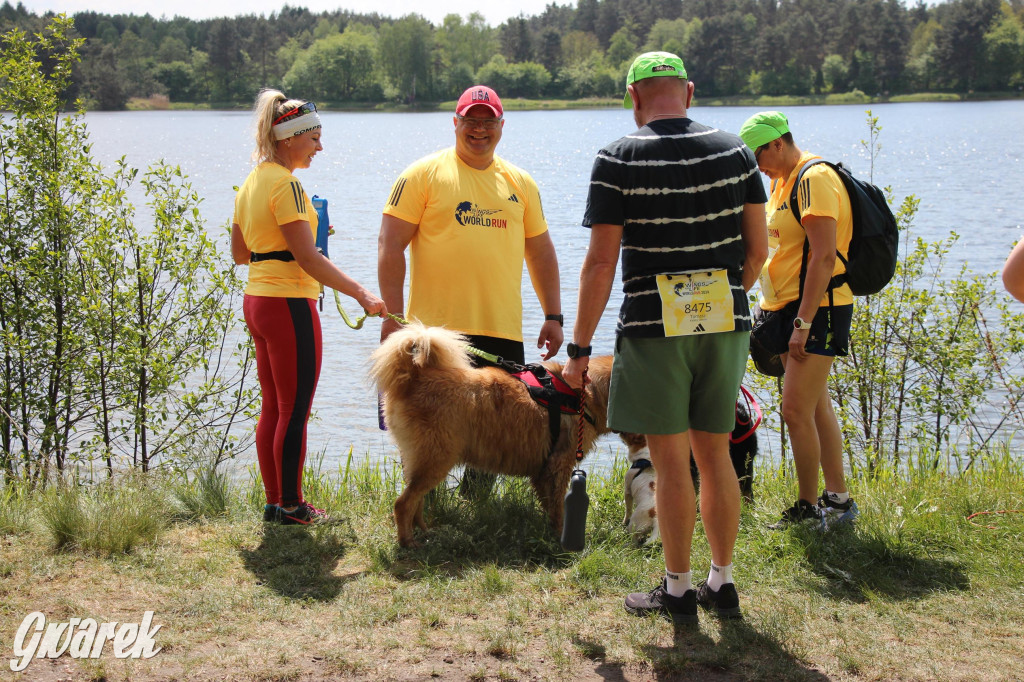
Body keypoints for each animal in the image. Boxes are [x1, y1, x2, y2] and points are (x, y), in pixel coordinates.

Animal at [368, 323, 606, 548]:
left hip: (421, 460)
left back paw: (424, 531)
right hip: (435, 459)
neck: (579, 395)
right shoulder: (558, 464)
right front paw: (560, 536)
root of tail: (414, 377)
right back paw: (407, 541)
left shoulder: (544, 469)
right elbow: (557, 506)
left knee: (416, 501)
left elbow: (549, 504)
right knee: (403, 504)